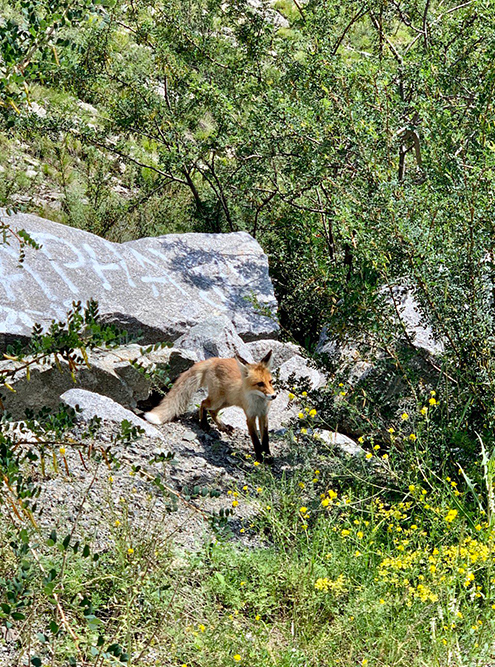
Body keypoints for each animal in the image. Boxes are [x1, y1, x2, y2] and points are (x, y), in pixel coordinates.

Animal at [143, 352, 278, 462]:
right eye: (260, 384)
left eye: (270, 382)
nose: (274, 396)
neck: (258, 403)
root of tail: (215, 359)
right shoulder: (250, 417)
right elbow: (255, 439)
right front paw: (260, 457)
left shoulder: (263, 415)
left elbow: (265, 439)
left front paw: (268, 456)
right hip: (217, 400)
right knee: (203, 403)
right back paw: (204, 424)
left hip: (226, 401)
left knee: (213, 412)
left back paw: (223, 426)